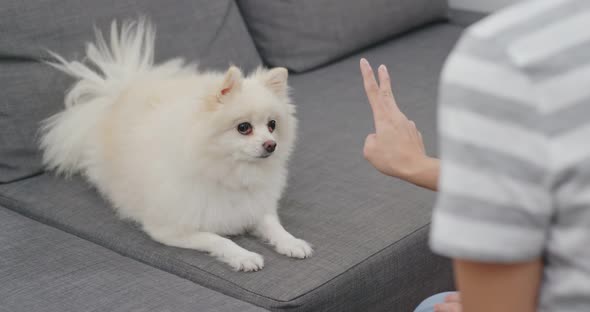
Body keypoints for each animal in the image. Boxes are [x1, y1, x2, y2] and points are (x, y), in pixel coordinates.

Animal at [41, 18, 314, 270]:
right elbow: (218, 239)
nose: (271, 145)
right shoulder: (172, 230)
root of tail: (120, 92)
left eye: (272, 125)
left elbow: (272, 225)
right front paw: (243, 256)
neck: (229, 173)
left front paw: (291, 242)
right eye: (244, 128)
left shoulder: (256, 207)